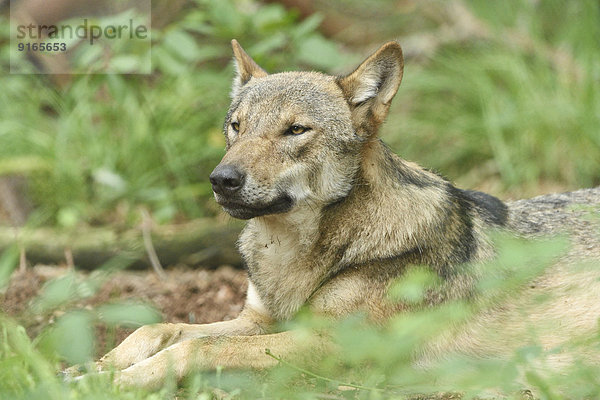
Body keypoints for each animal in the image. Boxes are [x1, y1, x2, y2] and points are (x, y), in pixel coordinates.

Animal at [79, 39, 600, 388]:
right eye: (236, 127)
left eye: (295, 130)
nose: (221, 179)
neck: (293, 255)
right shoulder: (260, 322)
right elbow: (158, 327)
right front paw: (87, 369)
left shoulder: (329, 346)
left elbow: (193, 348)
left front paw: (112, 383)